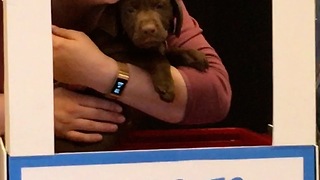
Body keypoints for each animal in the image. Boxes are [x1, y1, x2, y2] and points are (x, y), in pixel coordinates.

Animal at [55, 0, 209, 153]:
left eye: (160, 6)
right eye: (130, 10)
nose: (148, 30)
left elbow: (166, 51)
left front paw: (193, 55)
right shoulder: (112, 54)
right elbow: (154, 56)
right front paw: (166, 85)